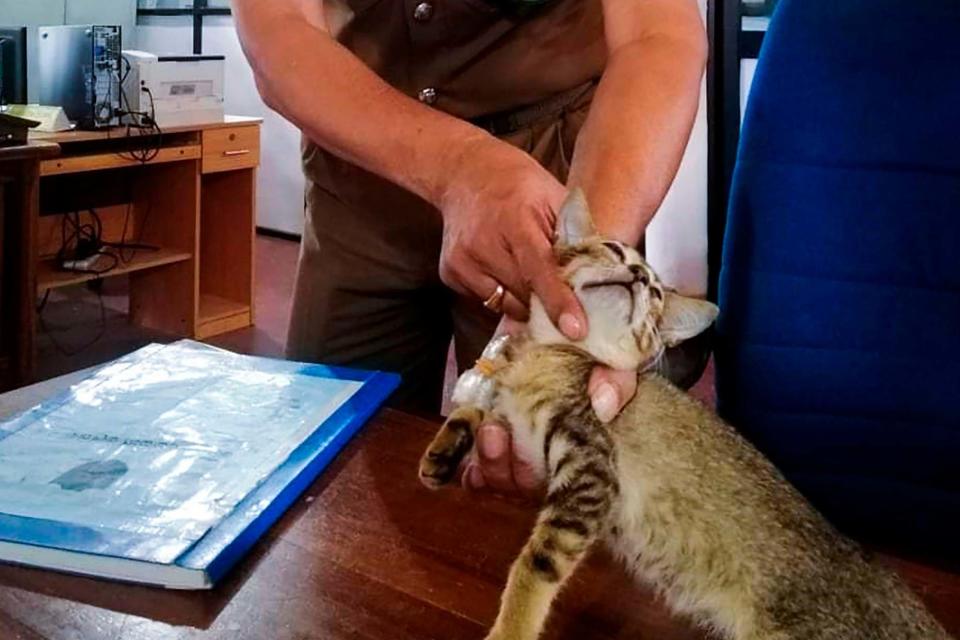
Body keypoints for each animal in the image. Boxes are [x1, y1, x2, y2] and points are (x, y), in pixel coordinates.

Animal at [416, 190, 948, 640]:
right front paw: (441, 453)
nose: (639, 277)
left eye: (655, 292)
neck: (548, 353)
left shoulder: (590, 466)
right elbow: (478, 402)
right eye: (614, 250)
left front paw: (509, 628)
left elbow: (534, 566)